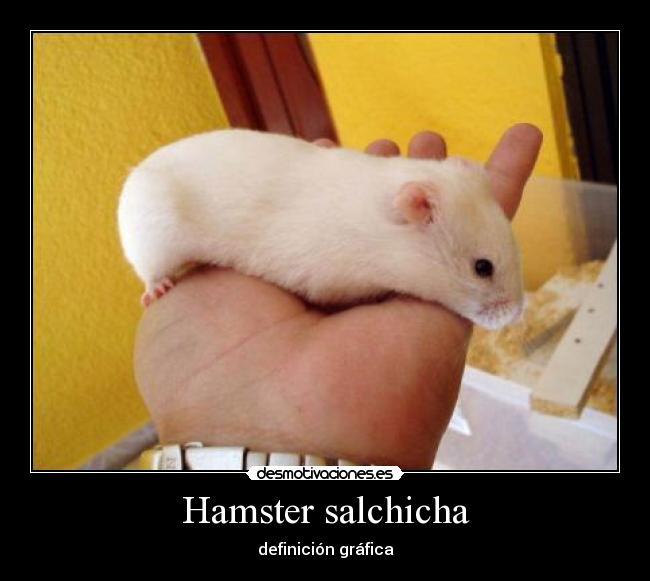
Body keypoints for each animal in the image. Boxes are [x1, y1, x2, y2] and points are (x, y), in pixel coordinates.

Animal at [118, 129, 524, 330]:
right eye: (482, 267)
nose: (518, 315)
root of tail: (135, 174)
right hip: (152, 237)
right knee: (150, 272)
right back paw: (157, 290)